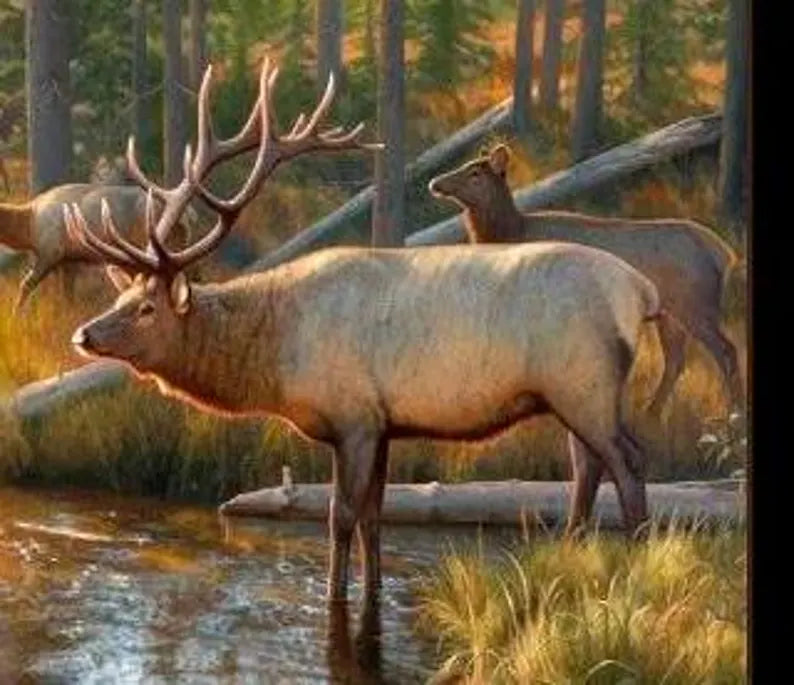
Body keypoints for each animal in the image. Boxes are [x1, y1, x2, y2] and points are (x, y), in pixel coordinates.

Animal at [0, 183, 200, 312]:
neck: (28, 226)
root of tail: (189, 216)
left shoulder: (50, 251)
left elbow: (26, 285)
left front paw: (16, 316)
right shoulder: (69, 259)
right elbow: (67, 293)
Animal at [65, 59, 661, 611]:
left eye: (146, 308)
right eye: (118, 299)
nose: (83, 335)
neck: (278, 355)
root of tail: (639, 292)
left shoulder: (351, 418)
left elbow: (341, 517)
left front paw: (333, 599)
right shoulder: (383, 424)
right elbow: (376, 517)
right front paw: (372, 593)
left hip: (582, 384)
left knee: (628, 461)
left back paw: (637, 565)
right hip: (577, 394)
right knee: (593, 467)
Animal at [428, 144, 743, 420]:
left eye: (475, 173)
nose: (434, 182)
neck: (511, 233)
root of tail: (723, 253)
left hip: (696, 305)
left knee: (726, 351)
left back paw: (732, 415)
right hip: (670, 313)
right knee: (676, 360)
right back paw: (651, 414)